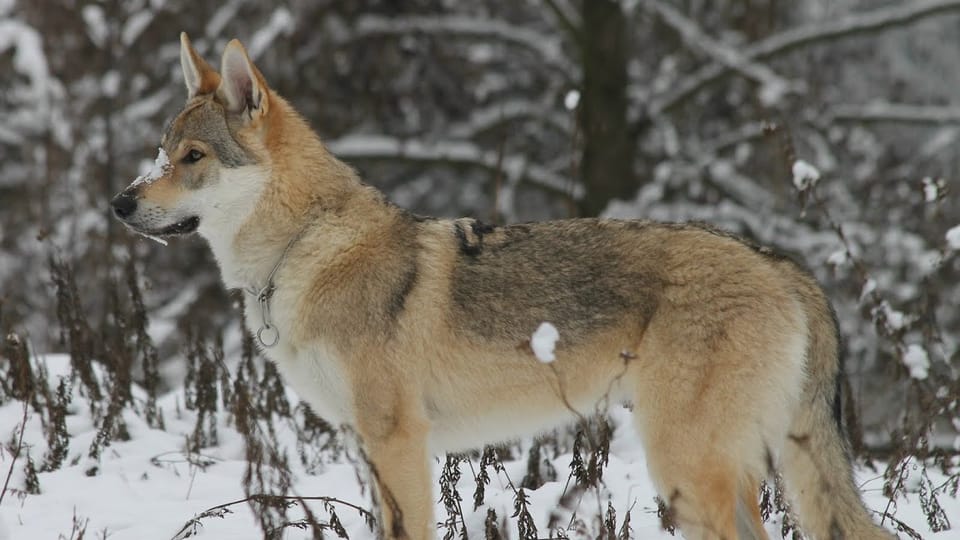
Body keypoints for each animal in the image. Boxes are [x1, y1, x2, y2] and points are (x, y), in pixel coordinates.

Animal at [110, 33, 895, 540]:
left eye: (193, 158)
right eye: (160, 153)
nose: (118, 204)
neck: (304, 249)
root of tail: (782, 264)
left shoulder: (398, 443)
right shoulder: (369, 449)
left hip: (686, 468)